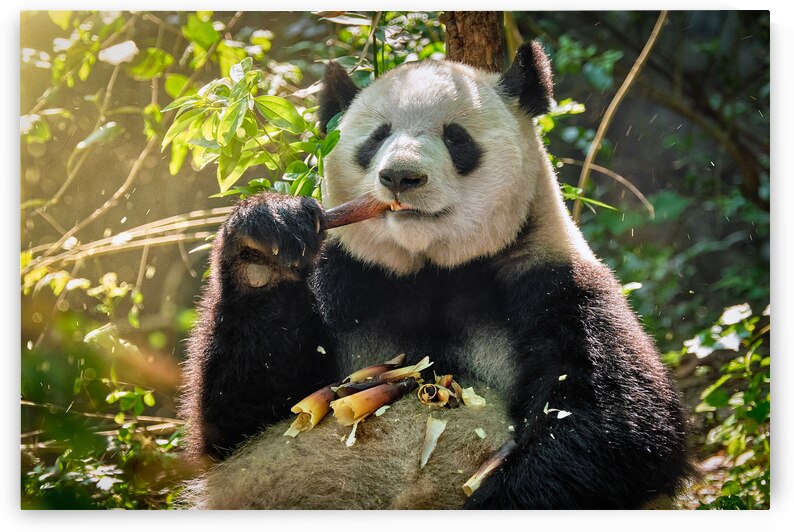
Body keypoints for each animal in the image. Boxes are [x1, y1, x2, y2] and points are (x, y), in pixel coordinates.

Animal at [179, 41, 692, 510]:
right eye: (377, 137)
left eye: (456, 137)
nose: (401, 178)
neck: (431, 269)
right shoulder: (347, 279)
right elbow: (244, 414)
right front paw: (266, 243)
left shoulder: (554, 283)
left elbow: (612, 426)